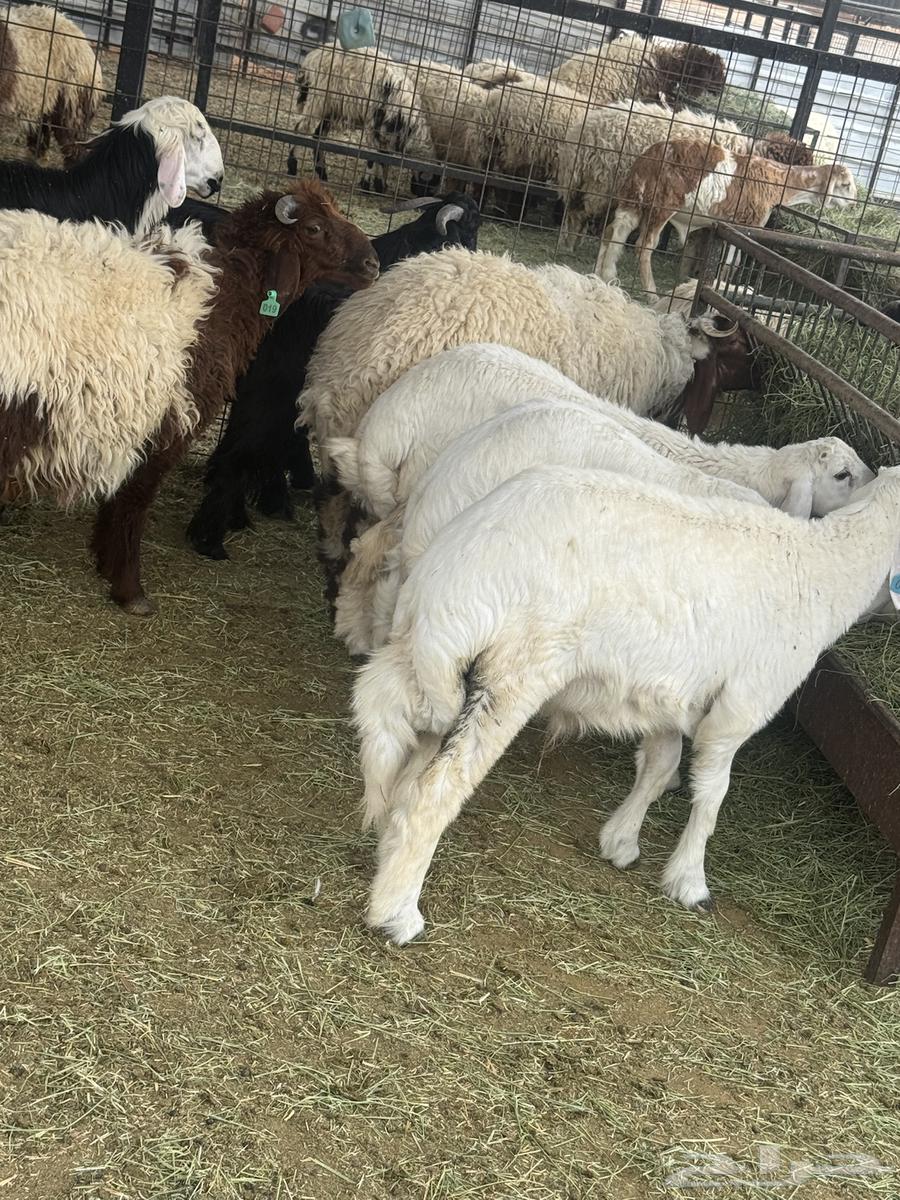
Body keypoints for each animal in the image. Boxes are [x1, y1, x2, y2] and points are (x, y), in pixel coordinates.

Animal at [0, 180, 378, 614]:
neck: (222, 300)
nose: (373, 263)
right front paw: (129, 588)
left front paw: (103, 562)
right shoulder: (166, 425)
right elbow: (134, 502)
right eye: (315, 228)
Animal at [286, 42, 435, 193]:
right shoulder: (374, 126)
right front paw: (368, 184)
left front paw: (380, 185)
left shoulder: (386, 134)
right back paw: (292, 166)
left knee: (318, 136)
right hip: (318, 100)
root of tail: (312, 56)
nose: (417, 192)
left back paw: (322, 172)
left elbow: (384, 157)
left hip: (331, 108)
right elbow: (373, 157)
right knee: (301, 127)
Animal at [354, 462, 900, 944]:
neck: (823, 570)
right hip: (511, 673)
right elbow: (712, 794)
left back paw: (389, 864)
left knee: (407, 773)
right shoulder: (740, 707)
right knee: (433, 794)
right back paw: (398, 914)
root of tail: (449, 580)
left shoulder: (668, 694)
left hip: (437, 677)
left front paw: (621, 841)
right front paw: (690, 881)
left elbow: (660, 767)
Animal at [598, 138, 858, 294]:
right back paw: (651, 293)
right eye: (845, 184)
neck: (776, 181)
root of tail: (648, 158)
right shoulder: (746, 225)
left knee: (613, 231)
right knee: (644, 245)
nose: (854, 203)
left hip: (633, 196)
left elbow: (730, 263)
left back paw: (604, 275)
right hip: (662, 203)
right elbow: (732, 264)